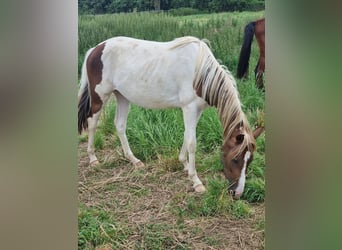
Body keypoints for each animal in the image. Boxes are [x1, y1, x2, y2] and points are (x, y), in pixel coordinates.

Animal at [79, 36, 264, 198]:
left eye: (250, 160)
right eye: (235, 159)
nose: (237, 194)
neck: (201, 73)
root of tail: (96, 49)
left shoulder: (197, 110)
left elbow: (187, 136)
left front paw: (184, 164)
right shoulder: (189, 108)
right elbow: (192, 143)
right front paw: (196, 181)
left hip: (122, 96)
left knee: (120, 125)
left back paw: (134, 160)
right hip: (100, 96)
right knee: (92, 123)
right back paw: (93, 158)